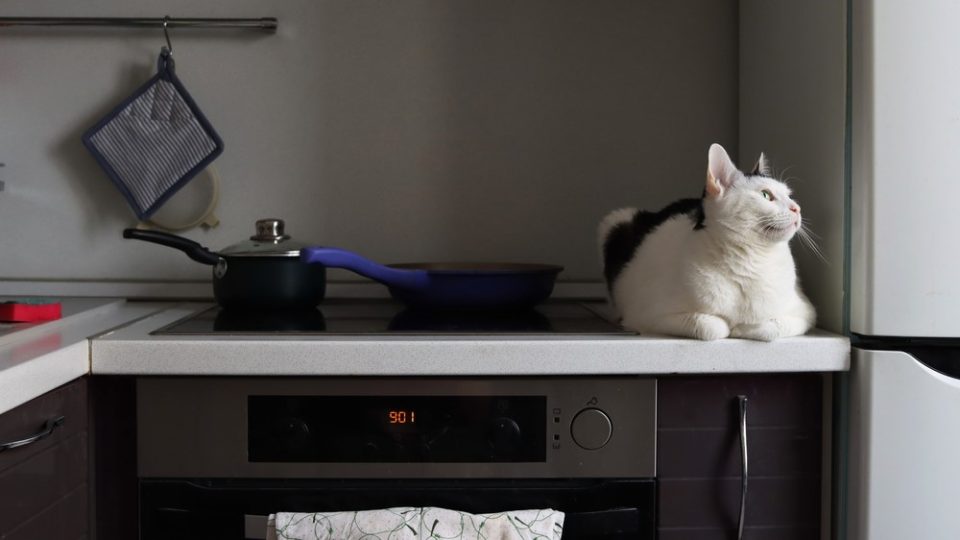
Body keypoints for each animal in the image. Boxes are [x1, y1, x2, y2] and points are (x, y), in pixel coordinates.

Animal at [600, 141, 816, 340]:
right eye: (765, 195)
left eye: (789, 195)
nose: (797, 208)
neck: (753, 260)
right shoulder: (649, 315)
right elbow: (711, 327)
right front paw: (732, 328)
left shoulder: (805, 312)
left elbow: (771, 327)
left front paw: (744, 328)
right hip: (615, 219)